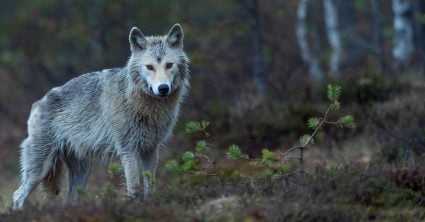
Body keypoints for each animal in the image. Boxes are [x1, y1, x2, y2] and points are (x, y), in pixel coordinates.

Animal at [12, 24, 189, 210]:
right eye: (149, 67)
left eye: (169, 65)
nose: (163, 88)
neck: (143, 105)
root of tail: (37, 103)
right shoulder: (128, 150)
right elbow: (134, 187)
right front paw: (134, 207)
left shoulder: (151, 150)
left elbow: (150, 186)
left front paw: (150, 206)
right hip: (39, 170)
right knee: (18, 195)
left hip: (81, 174)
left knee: (68, 200)